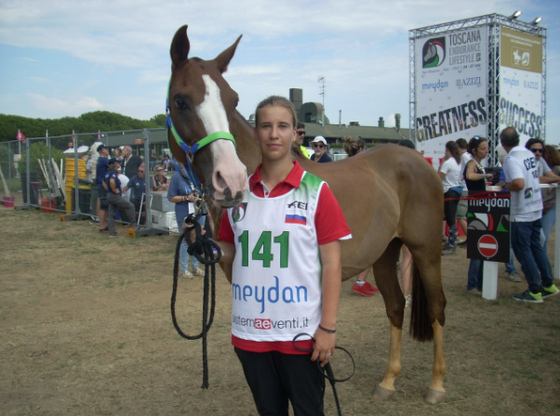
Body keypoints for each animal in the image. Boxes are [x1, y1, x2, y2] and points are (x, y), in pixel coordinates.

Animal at [165, 25, 446, 404]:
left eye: (233, 100)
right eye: (180, 100)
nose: (232, 180)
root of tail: (420, 161)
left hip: (426, 251)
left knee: (436, 307)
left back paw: (436, 384)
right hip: (387, 253)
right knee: (396, 307)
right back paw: (388, 381)